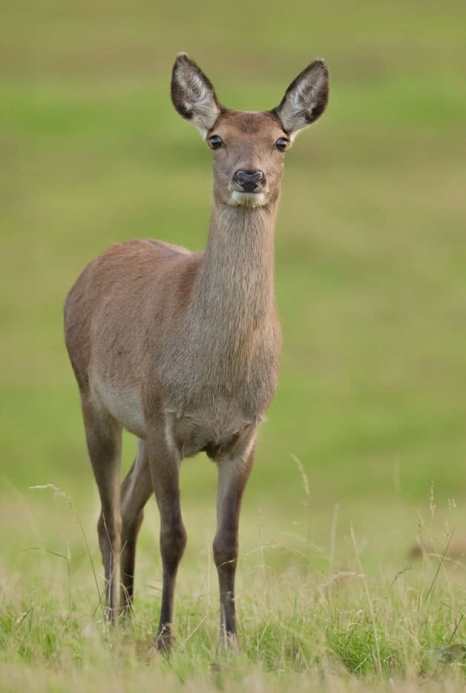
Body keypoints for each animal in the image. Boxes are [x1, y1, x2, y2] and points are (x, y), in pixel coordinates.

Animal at [64, 53, 329, 650]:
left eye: (280, 141)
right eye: (215, 139)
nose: (248, 176)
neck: (216, 377)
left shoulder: (245, 433)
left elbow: (226, 544)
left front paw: (231, 642)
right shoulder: (165, 418)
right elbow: (175, 535)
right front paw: (165, 639)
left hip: (139, 428)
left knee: (127, 505)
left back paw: (124, 613)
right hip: (95, 399)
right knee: (110, 514)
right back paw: (113, 619)